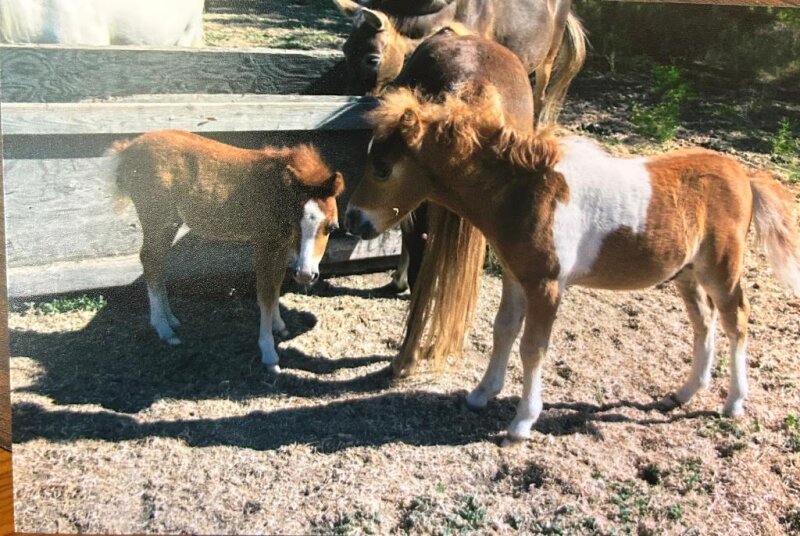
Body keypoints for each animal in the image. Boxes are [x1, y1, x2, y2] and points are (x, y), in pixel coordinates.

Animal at [110, 130, 344, 374]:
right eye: (295, 223)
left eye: (332, 227)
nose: (306, 275)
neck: (277, 191)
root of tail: (126, 151)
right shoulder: (265, 245)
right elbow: (266, 294)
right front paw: (269, 354)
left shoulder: (279, 247)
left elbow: (276, 285)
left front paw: (279, 325)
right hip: (157, 219)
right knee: (150, 259)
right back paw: (164, 329)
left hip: (170, 223)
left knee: (157, 263)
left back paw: (171, 320)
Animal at [345, 85, 800, 442]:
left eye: (382, 168)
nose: (353, 220)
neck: (528, 193)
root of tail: (743, 176)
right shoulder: (516, 276)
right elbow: (502, 331)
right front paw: (481, 393)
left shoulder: (546, 284)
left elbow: (533, 347)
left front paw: (522, 422)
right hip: (686, 273)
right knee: (703, 322)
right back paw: (684, 393)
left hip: (721, 268)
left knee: (736, 321)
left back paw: (733, 403)